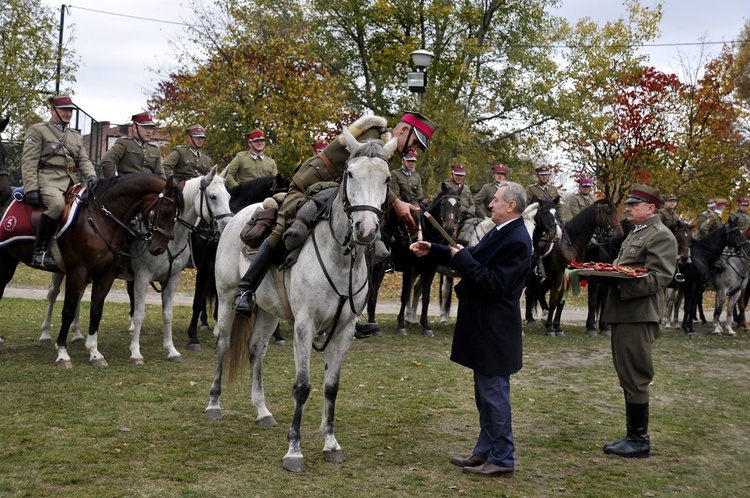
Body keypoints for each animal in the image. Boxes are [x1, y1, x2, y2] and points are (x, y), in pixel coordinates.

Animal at [0, 174, 182, 366]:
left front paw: (95, 353)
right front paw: (62, 353)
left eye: (175, 215)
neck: (101, 218)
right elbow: (68, 310)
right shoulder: (77, 272)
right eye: (167, 212)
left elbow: (96, 311)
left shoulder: (106, 275)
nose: (159, 248)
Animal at [37, 166, 232, 362]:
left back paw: (77, 334)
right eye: (213, 196)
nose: (227, 225)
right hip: (65, 269)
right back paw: (46, 334)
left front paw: (171, 350)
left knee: (77, 298)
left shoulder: (172, 278)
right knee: (53, 294)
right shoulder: (143, 277)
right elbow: (139, 314)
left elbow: (168, 314)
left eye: (229, 196)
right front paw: (136, 352)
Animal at [203, 128, 396, 470]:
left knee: (256, 350)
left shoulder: (344, 329)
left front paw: (331, 444)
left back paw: (262, 411)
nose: (366, 229)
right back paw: (214, 404)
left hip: (268, 311)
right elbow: (302, 386)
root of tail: (237, 217)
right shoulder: (304, 325)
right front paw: (294, 450)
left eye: (386, 178)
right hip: (226, 299)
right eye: (350, 174)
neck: (340, 259)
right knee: (223, 344)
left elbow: (331, 387)